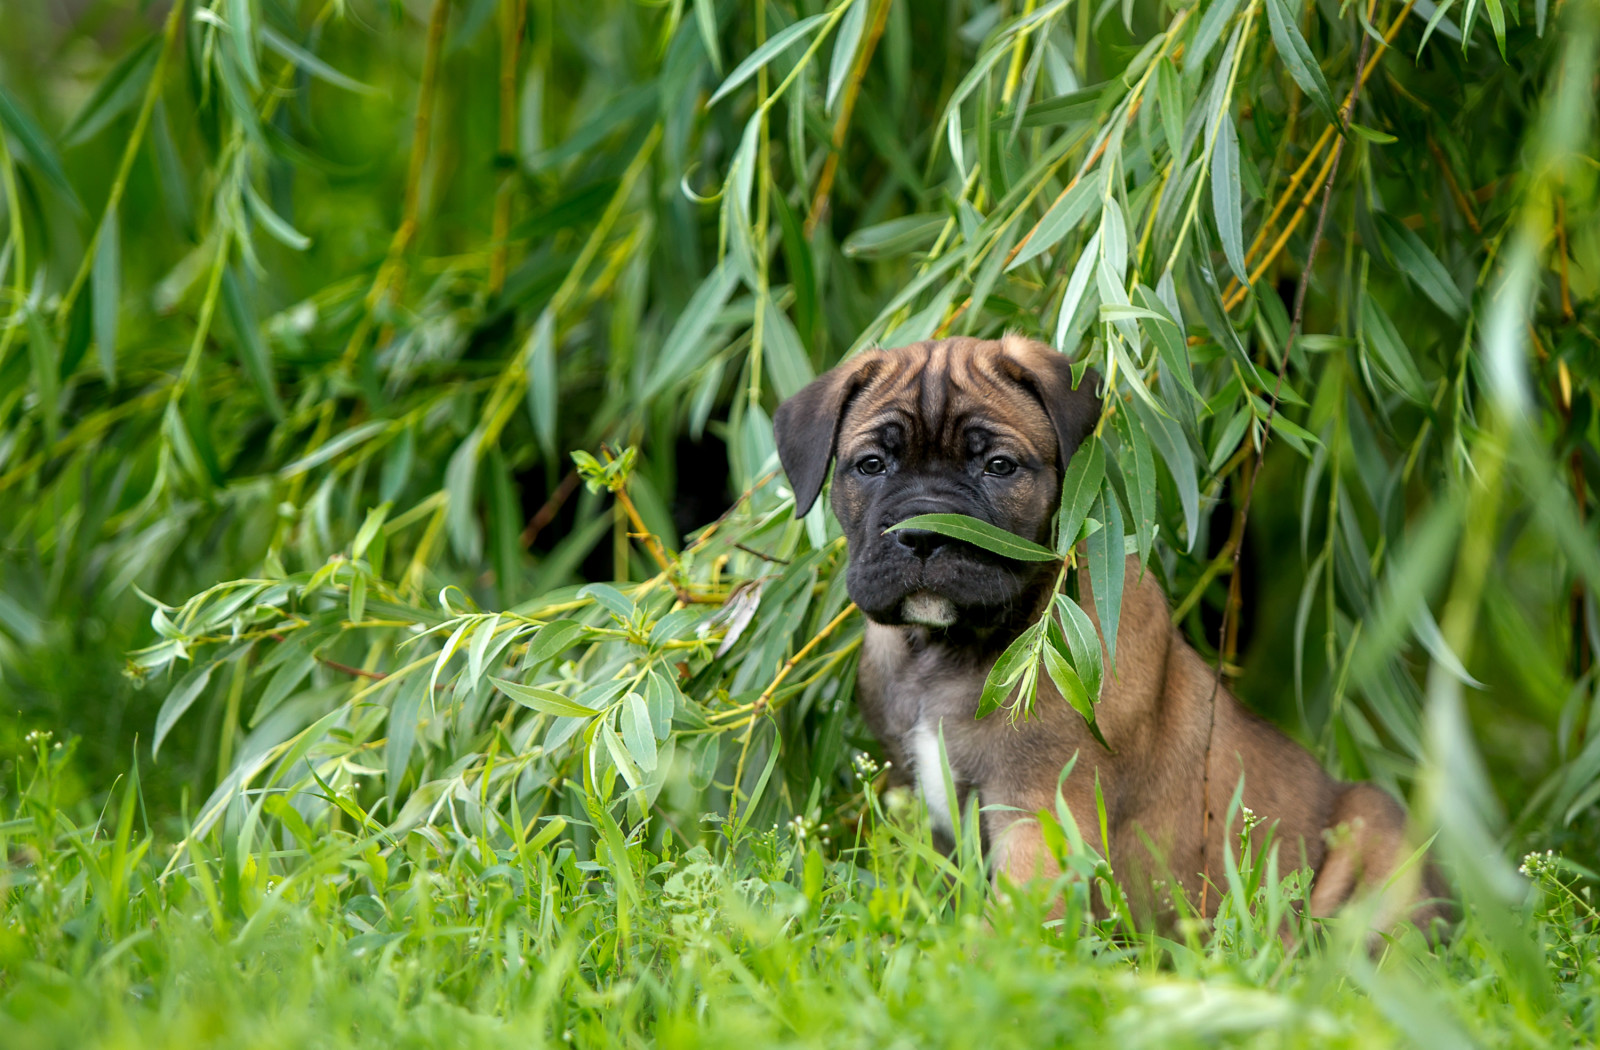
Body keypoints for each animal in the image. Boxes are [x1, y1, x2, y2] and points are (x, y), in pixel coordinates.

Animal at [774, 334, 1452, 928]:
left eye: (999, 467)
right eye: (870, 465)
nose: (922, 534)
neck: (948, 650)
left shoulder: (1038, 813)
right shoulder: (912, 804)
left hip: (1375, 824)